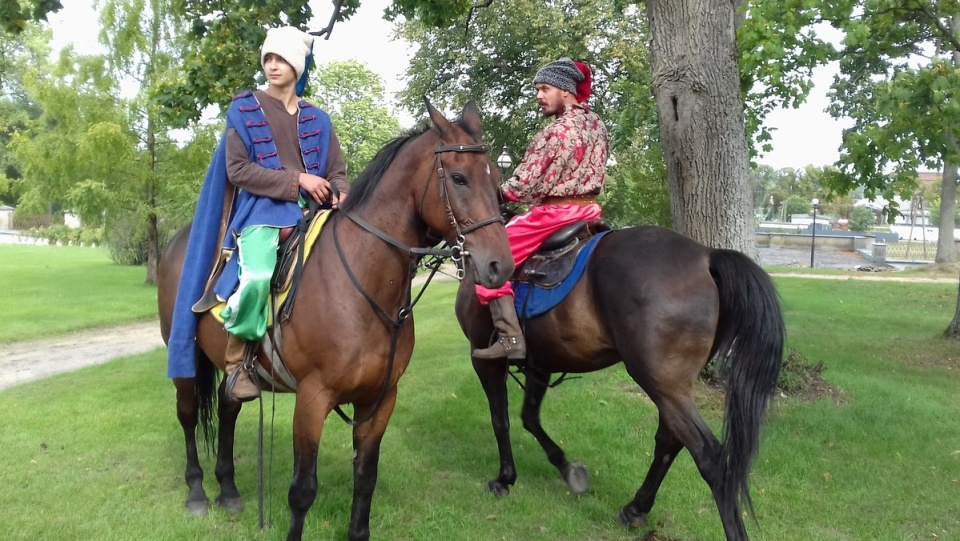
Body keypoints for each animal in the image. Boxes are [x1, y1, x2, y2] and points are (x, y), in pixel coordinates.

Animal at [159, 99, 516, 536]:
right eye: (460, 177)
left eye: (496, 178)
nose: (500, 265)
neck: (362, 286)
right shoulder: (312, 399)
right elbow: (302, 489)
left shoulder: (380, 400)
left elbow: (365, 477)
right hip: (185, 358)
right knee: (188, 415)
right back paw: (196, 491)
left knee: (228, 408)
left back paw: (228, 489)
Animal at [454, 225, 784, 540]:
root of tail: (706, 256)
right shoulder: (541, 364)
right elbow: (529, 418)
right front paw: (569, 469)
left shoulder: (484, 360)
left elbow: (501, 421)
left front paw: (505, 478)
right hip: (671, 389)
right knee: (669, 441)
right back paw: (635, 508)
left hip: (663, 386)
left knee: (709, 456)